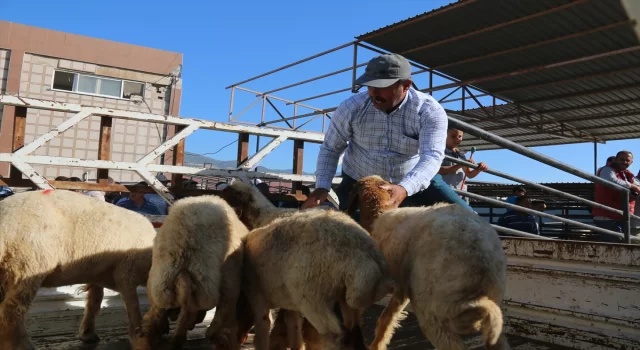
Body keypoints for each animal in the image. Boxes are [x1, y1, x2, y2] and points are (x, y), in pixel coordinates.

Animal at [0, 189, 159, 350]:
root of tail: (4, 220)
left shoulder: (98, 272)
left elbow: (95, 300)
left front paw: (87, 333)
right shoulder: (126, 271)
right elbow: (133, 306)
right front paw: (141, 339)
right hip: (27, 264)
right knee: (11, 311)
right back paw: (22, 345)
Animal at [222, 180, 398, 350]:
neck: (262, 218)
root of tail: (365, 251)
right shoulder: (288, 298)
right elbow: (292, 326)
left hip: (313, 299)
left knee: (336, 336)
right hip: (345, 304)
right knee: (355, 336)